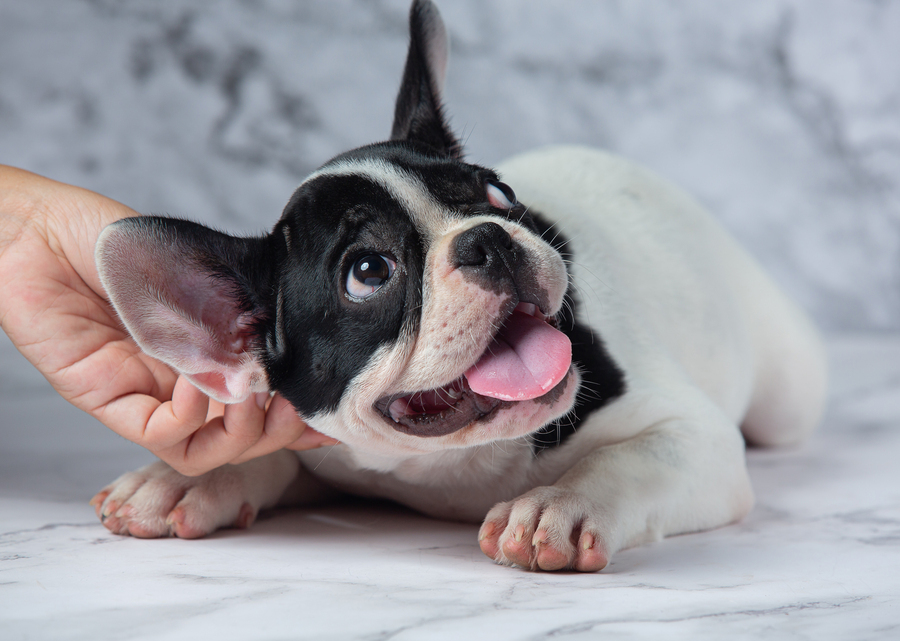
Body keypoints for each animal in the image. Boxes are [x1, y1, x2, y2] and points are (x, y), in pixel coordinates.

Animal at [93, 0, 828, 568]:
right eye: (368, 272)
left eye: (498, 194)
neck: (454, 464)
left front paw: (560, 505)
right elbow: (265, 452)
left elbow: (629, 459)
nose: (489, 239)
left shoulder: (693, 435)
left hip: (785, 394)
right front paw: (186, 478)